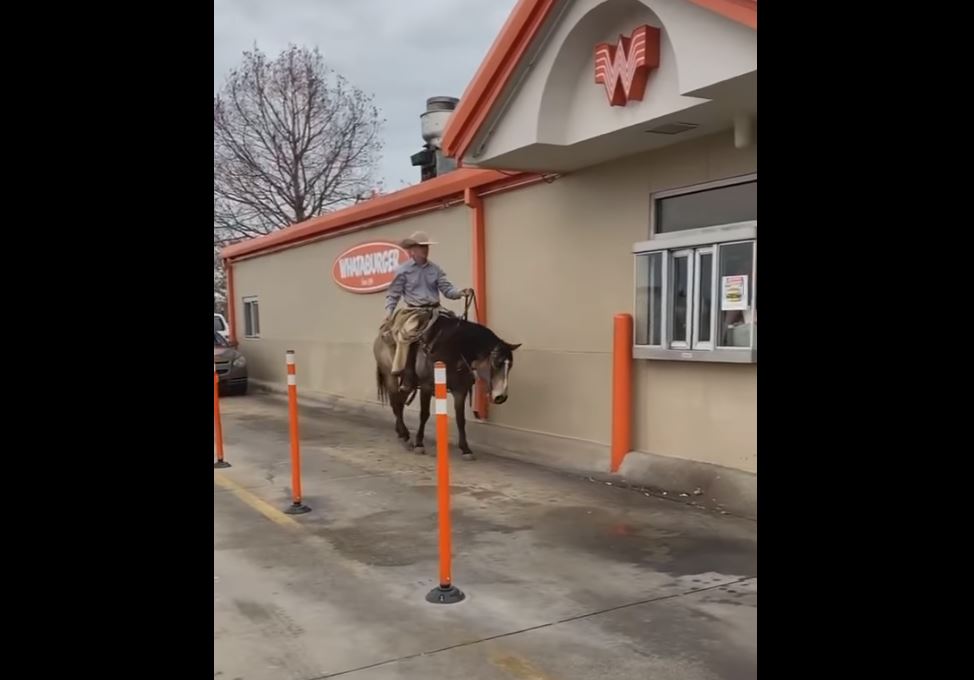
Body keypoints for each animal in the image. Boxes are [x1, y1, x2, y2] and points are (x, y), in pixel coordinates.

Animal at [376, 310, 524, 460]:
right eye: (496, 363)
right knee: (395, 403)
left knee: (399, 403)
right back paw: (405, 436)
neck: (453, 349)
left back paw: (401, 433)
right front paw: (419, 444)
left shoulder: (460, 391)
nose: (501, 396)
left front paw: (466, 449)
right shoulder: (426, 387)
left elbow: (460, 419)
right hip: (390, 376)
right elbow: (424, 414)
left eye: (510, 365)